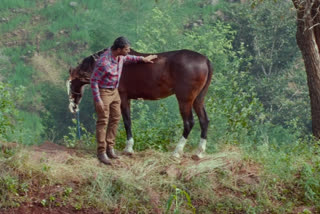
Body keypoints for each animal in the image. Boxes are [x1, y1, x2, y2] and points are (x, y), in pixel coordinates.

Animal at [67, 48, 212, 159]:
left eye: (70, 83)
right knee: (204, 121)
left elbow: (127, 121)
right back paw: (199, 152)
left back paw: (177, 151)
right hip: (198, 100)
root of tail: (205, 60)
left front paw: (128, 148)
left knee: (189, 122)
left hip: (184, 100)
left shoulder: (122, 97)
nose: (72, 107)